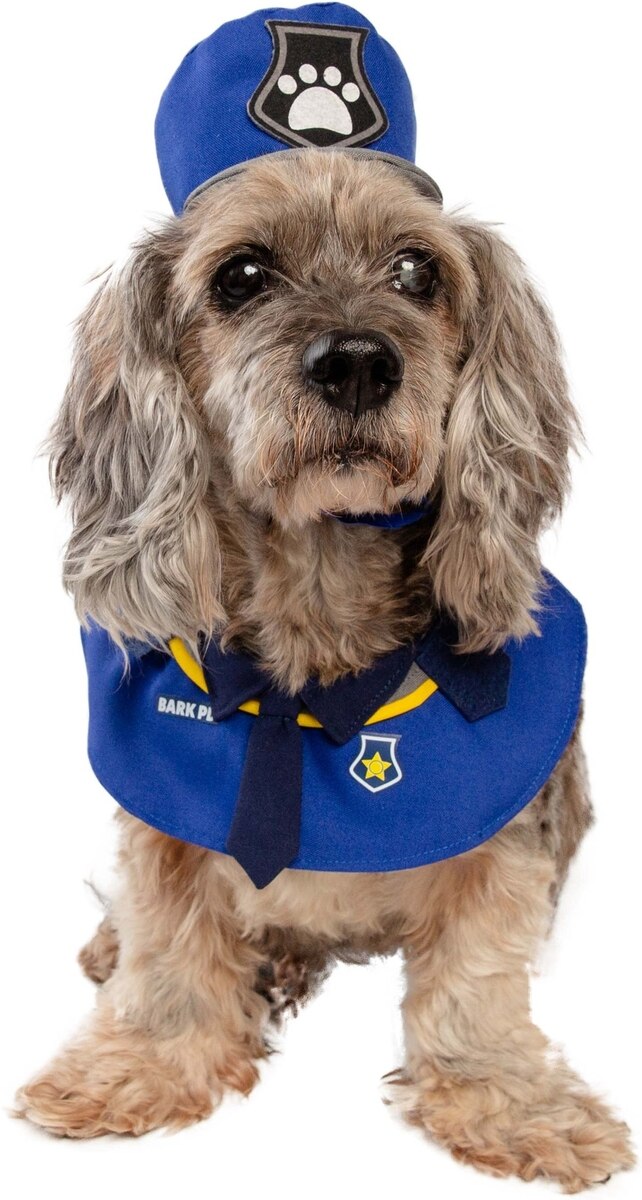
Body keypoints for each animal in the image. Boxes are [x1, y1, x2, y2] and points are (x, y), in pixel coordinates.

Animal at [14, 3, 634, 1189]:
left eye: (418, 270)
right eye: (243, 276)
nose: (356, 363)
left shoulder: (505, 849)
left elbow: (475, 983)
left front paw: (510, 1101)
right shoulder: (166, 829)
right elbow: (169, 946)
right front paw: (142, 1063)